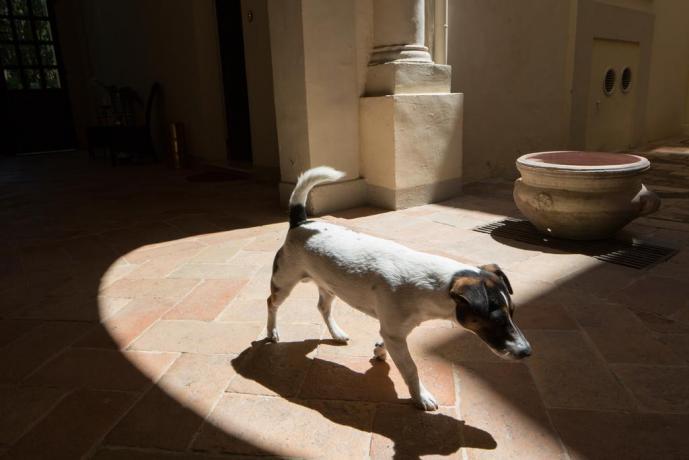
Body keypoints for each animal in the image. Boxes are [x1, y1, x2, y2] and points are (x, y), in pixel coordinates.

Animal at [264, 167, 532, 412]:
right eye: (496, 319)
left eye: (513, 313)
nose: (527, 351)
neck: (436, 285)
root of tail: (301, 222)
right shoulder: (395, 332)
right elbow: (411, 368)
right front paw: (421, 396)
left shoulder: (394, 330)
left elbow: (385, 341)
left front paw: (379, 350)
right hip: (284, 281)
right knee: (271, 303)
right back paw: (272, 332)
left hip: (329, 285)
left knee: (322, 307)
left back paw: (336, 333)